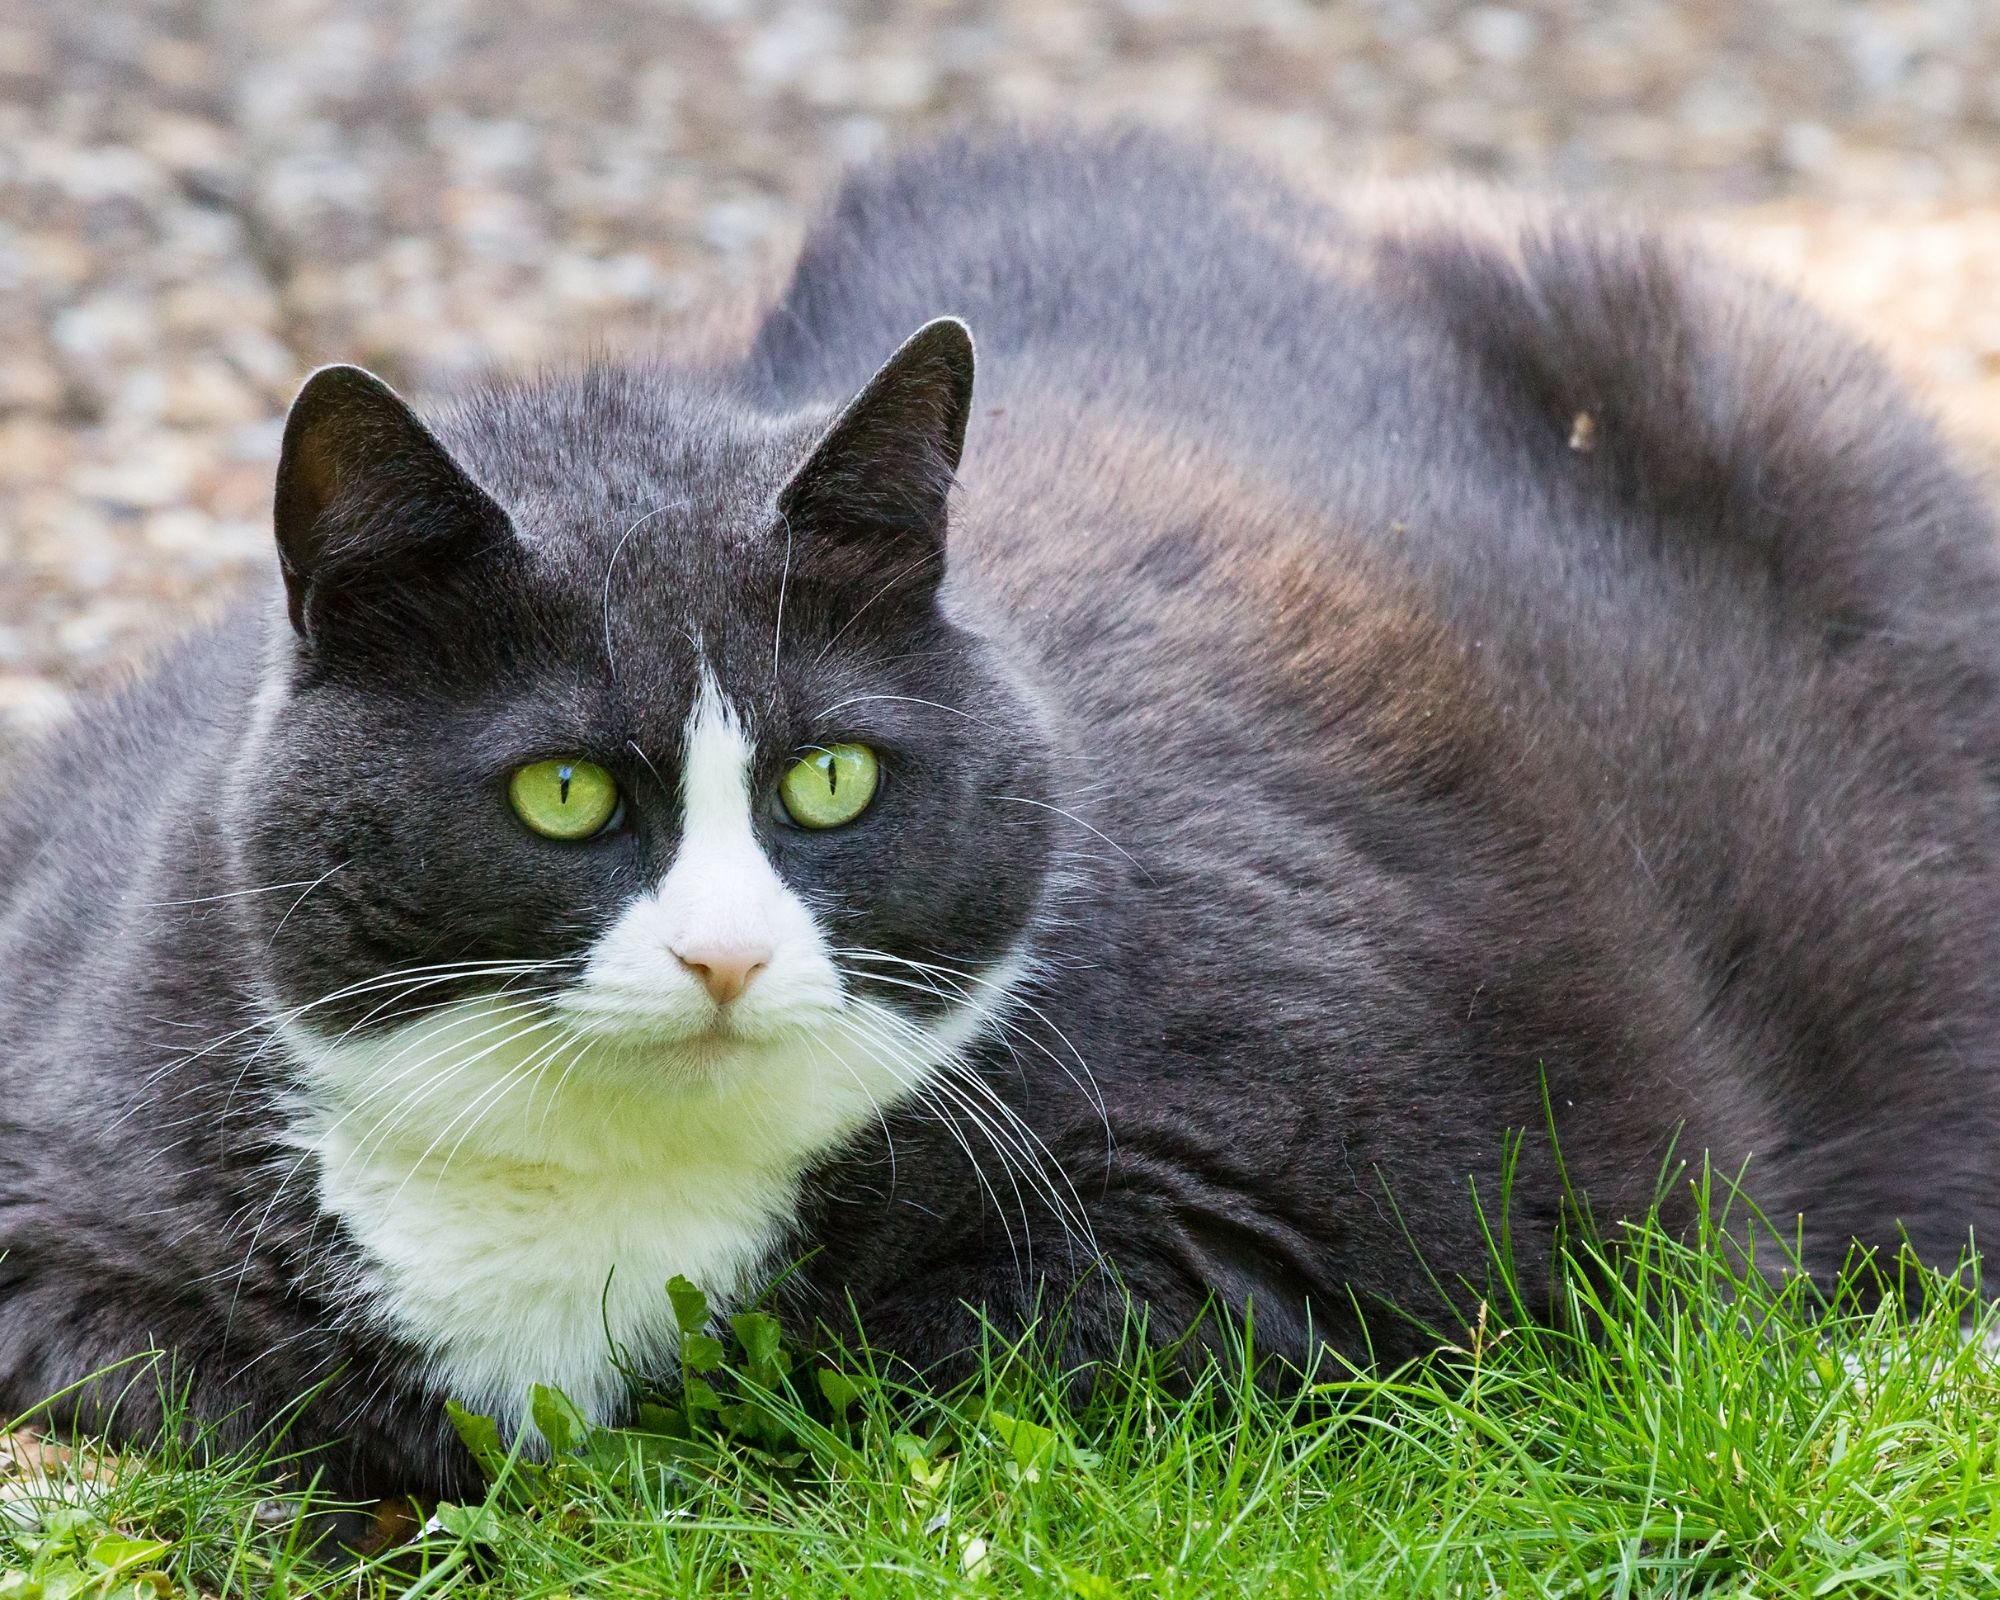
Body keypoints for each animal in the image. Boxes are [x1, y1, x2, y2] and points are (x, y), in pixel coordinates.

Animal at [3, 128, 2000, 1512]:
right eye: (562, 792)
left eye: (831, 778)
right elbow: (210, 1384)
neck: (598, 1194)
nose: (723, 957)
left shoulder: (1319, 1200)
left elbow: (894, 1371)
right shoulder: (64, 1176)